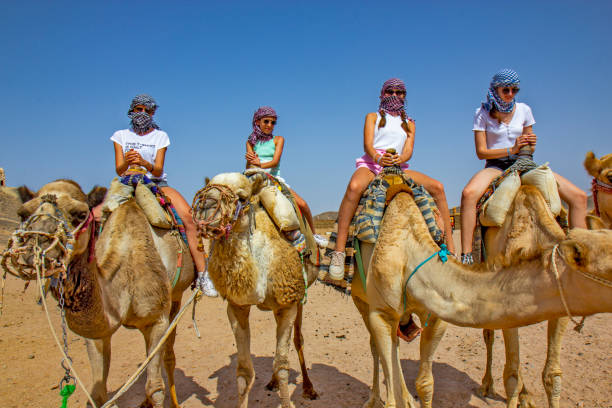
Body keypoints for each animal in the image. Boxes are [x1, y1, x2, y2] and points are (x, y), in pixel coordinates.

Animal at [2, 181, 194, 408]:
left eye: (80, 214)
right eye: (22, 214)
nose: (35, 247)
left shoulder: (156, 320)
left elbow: (155, 388)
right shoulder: (97, 333)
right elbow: (97, 395)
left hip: (175, 296)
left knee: (168, 353)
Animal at [192, 172, 320, 408]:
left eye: (242, 197)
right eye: (206, 188)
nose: (205, 207)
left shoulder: (288, 303)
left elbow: (282, 365)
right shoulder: (236, 307)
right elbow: (244, 370)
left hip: (299, 298)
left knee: (298, 340)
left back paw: (308, 388)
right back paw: (272, 383)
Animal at [352, 185, 612, 408]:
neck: (410, 251)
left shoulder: (436, 316)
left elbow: (425, 384)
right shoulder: (380, 313)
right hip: (361, 300)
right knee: (376, 347)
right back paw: (374, 399)